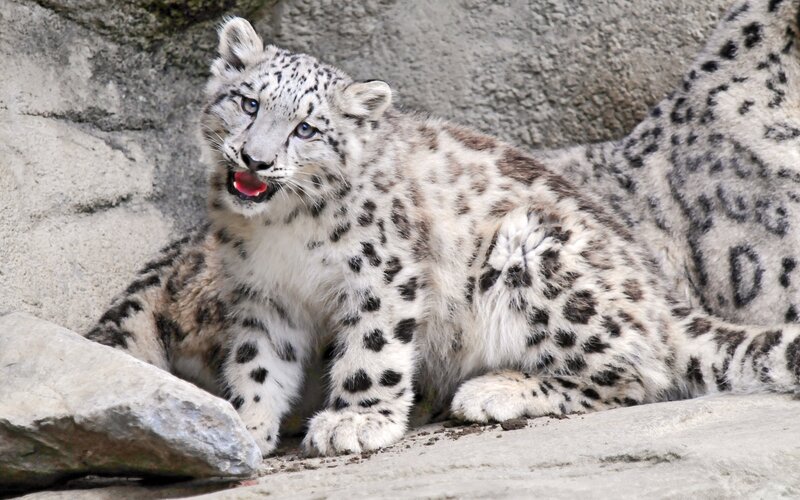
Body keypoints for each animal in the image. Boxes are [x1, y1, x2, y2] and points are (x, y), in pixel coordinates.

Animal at [87, 10, 800, 458]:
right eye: (249, 102)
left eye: (308, 129)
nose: (255, 161)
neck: (282, 234)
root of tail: (659, 296)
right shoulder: (264, 296)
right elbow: (260, 362)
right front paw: (247, 424)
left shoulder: (383, 271)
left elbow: (373, 349)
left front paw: (353, 422)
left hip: (534, 253)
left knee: (635, 373)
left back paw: (494, 390)